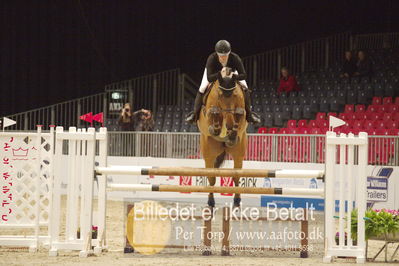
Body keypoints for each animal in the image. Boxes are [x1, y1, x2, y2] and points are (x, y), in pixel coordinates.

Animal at [198, 74, 248, 208]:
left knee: (236, 177)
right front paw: (216, 123)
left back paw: (236, 201)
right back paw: (211, 202)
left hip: (238, 153)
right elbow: (213, 119)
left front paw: (232, 134)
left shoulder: (242, 115)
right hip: (209, 152)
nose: (229, 124)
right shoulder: (208, 114)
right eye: (220, 95)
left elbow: (240, 117)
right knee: (211, 178)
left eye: (234, 95)